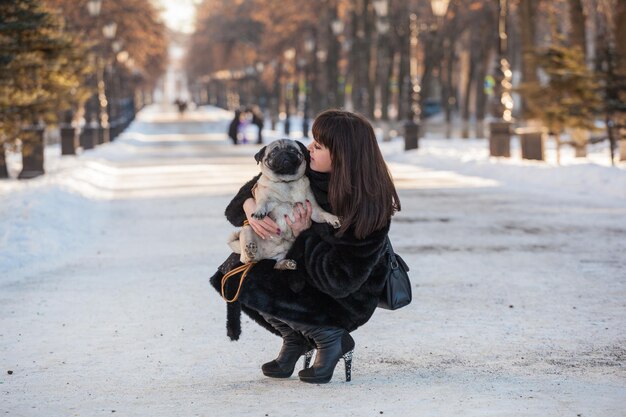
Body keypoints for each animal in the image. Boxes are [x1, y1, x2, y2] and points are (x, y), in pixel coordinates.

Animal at [227, 139, 338, 270]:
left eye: (292, 150)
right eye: (273, 153)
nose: (284, 153)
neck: (286, 182)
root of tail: (266, 254)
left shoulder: (314, 209)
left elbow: (323, 213)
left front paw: (333, 218)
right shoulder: (265, 198)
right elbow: (262, 202)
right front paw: (260, 211)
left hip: (285, 250)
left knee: (276, 264)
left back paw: (286, 263)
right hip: (248, 228)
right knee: (247, 259)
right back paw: (250, 252)